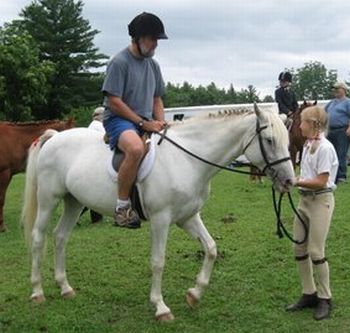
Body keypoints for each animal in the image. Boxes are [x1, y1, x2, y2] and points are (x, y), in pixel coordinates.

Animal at [21, 105, 294, 320]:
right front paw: (161, 307)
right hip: (48, 200)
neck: (187, 159)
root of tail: (54, 137)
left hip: (74, 202)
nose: (289, 182)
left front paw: (194, 294)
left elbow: (211, 249)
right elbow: (158, 262)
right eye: (269, 140)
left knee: (60, 237)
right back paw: (37, 292)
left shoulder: (188, 217)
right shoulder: (161, 220)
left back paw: (65, 288)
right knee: (38, 238)